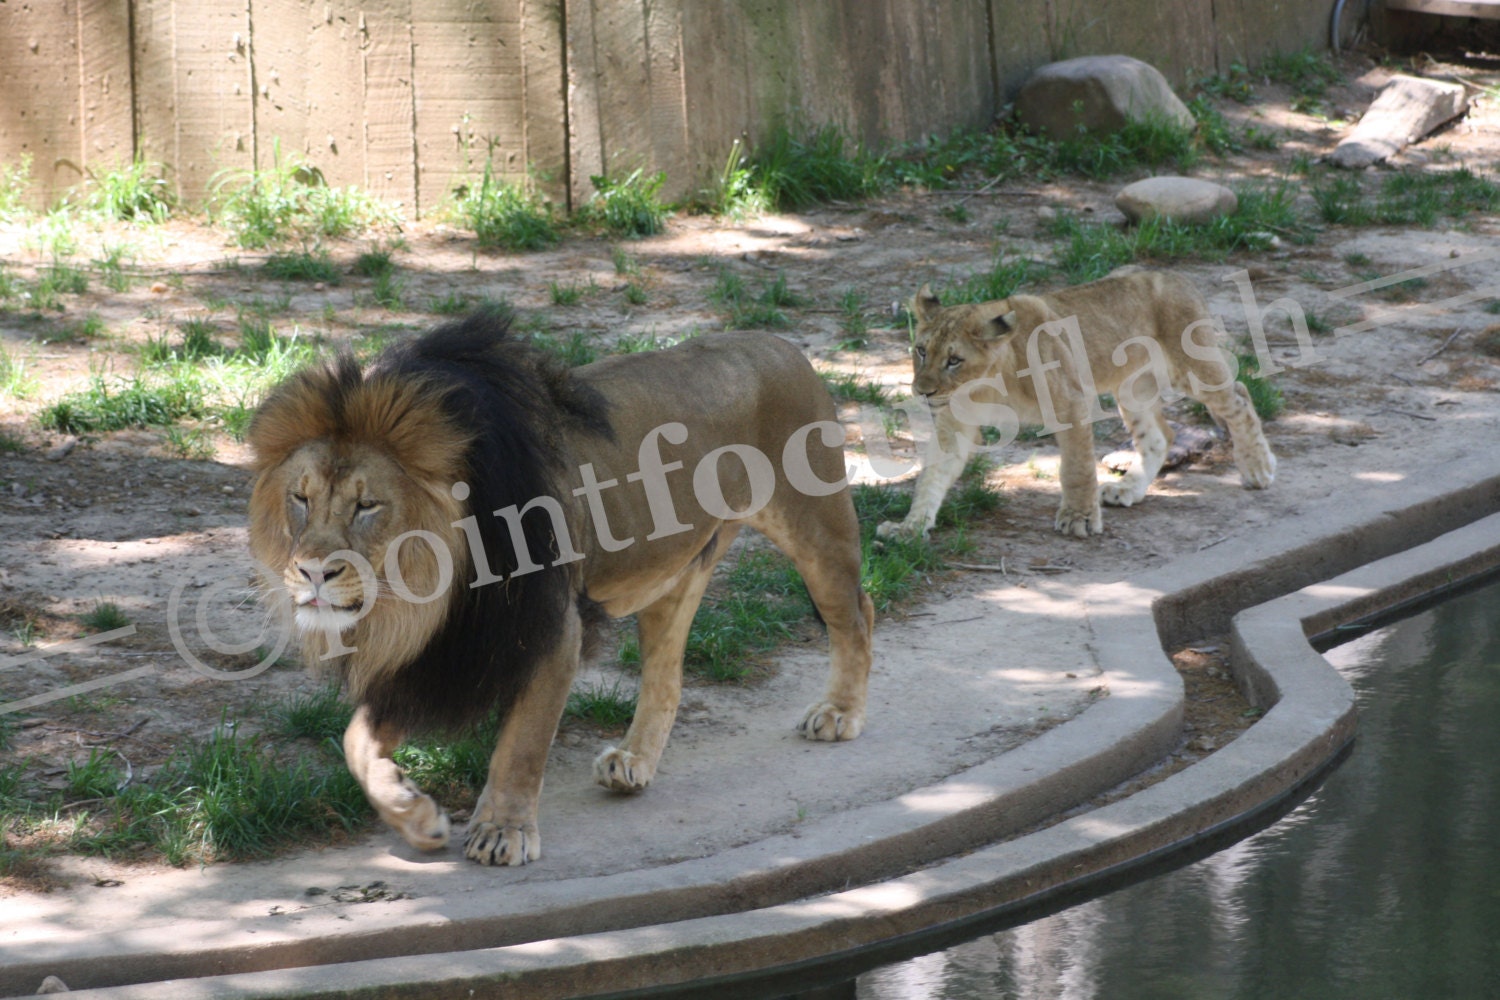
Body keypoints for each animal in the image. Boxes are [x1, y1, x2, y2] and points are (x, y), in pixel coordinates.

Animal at [247, 312, 873, 866]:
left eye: (367, 505)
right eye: (301, 498)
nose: (312, 572)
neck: (423, 598)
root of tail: (780, 343)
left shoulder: (550, 628)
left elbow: (522, 744)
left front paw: (503, 831)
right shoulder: (443, 655)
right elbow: (356, 741)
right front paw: (414, 814)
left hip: (815, 524)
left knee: (856, 613)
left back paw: (839, 713)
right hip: (675, 573)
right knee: (666, 676)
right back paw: (633, 761)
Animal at [877, 270, 1276, 540]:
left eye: (954, 360)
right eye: (921, 350)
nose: (921, 391)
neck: (985, 385)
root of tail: (1176, 276)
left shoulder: (1070, 403)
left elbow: (1077, 467)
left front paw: (1079, 518)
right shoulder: (953, 423)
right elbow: (931, 478)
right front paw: (909, 528)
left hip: (1190, 369)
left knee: (1239, 395)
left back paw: (1258, 467)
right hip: (1133, 387)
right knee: (1160, 435)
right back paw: (1128, 489)